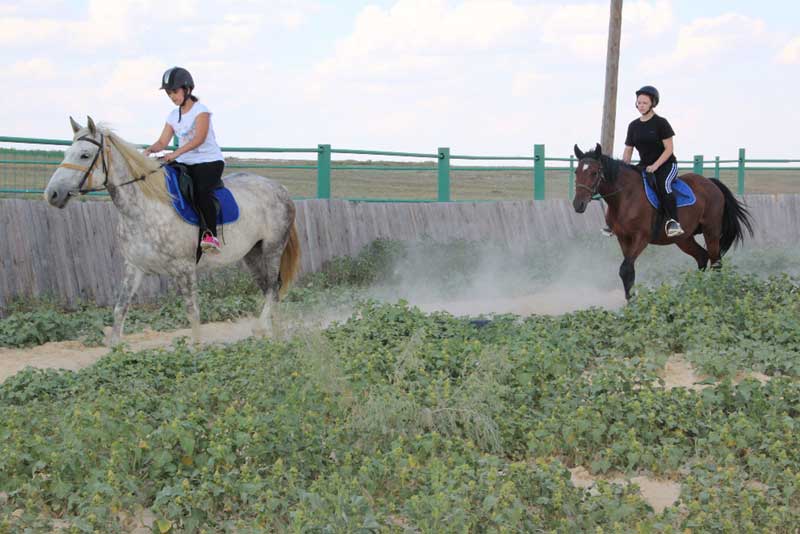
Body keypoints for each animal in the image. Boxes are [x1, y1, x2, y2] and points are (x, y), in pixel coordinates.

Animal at [44, 117, 300, 348]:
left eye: (85, 155)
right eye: (66, 154)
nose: (52, 194)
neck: (144, 209)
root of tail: (281, 189)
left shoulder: (184, 268)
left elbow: (192, 311)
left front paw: (196, 348)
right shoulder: (134, 267)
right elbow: (120, 307)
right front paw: (114, 348)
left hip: (272, 249)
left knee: (273, 289)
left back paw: (262, 329)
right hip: (252, 254)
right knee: (270, 289)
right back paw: (275, 331)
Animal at [572, 143, 752, 302]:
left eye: (594, 172)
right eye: (576, 172)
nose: (577, 204)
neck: (625, 197)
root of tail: (711, 183)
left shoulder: (641, 238)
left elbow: (625, 269)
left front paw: (632, 302)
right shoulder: (623, 239)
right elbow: (629, 271)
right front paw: (630, 302)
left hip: (711, 232)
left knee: (716, 263)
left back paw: (713, 292)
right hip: (683, 239)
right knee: (702, 256)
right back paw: (695, 290)